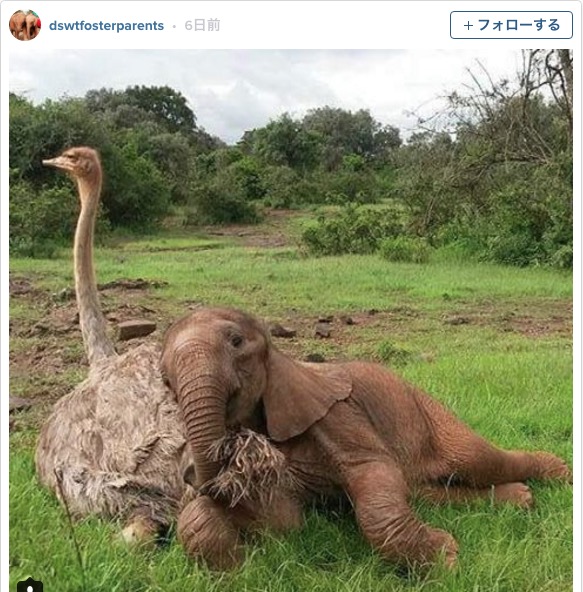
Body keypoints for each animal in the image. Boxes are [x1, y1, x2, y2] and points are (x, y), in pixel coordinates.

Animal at [162, 306, 572, 568]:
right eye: (165, 378)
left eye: (236, 342)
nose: (190, 475)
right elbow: (284, 520)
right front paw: (240, 564)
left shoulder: (338, 415)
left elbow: (373, 473)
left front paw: (447, 559)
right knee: (420, 489)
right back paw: (521, 498)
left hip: (426, 411)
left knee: (477, 460)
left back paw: (557, 473)